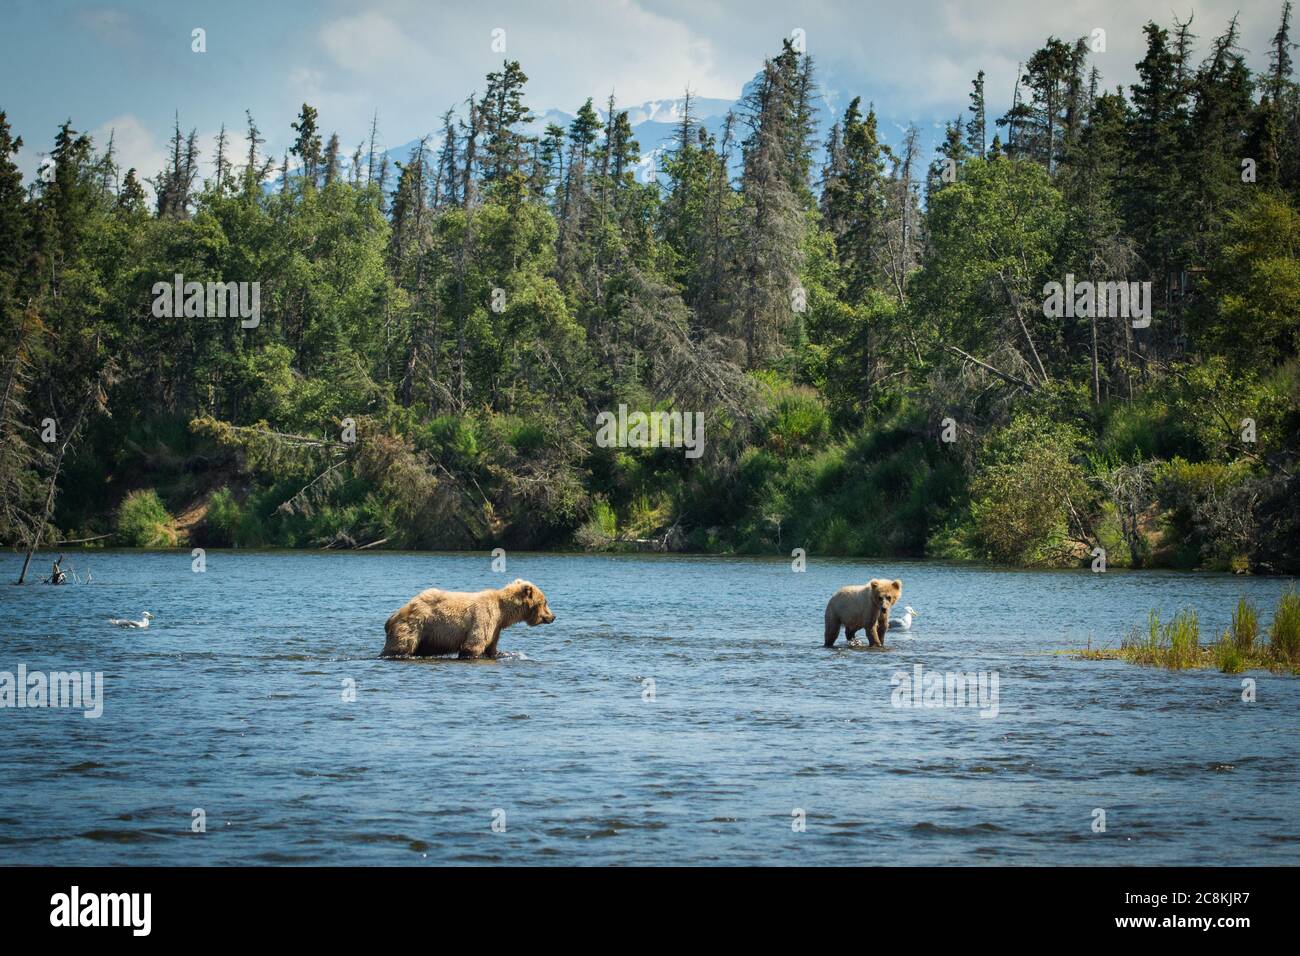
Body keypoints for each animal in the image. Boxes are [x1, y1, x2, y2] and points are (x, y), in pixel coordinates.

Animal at [382, 579, 555, 659]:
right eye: (545, 601)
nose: (553, 616)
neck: (503, 613)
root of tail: (394, 615)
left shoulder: (496, 627)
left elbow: (491, 647)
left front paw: (501, 653)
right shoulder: (484, 617)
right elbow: (473, 645)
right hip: (415, 626)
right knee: (401, 646)